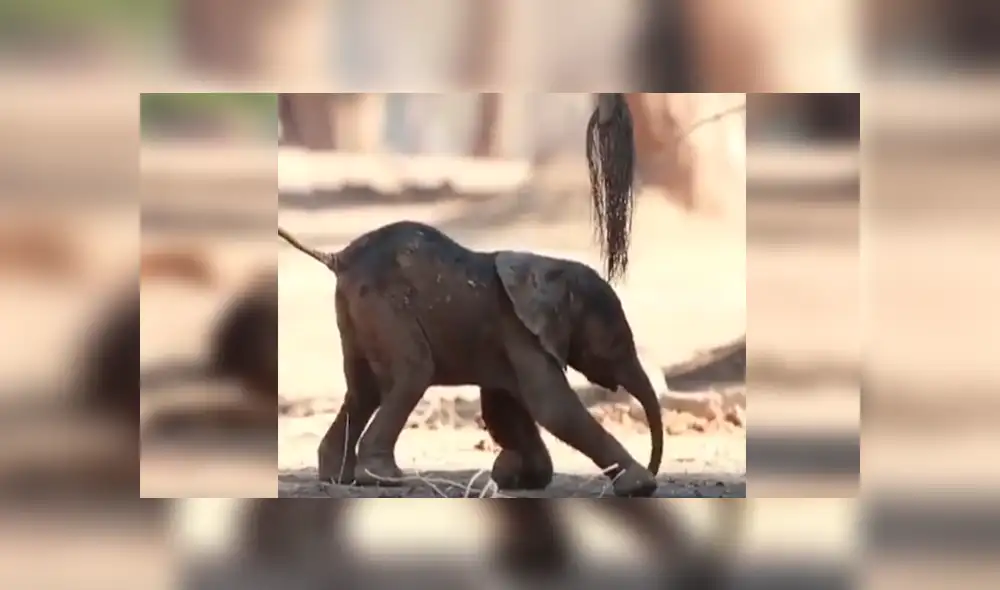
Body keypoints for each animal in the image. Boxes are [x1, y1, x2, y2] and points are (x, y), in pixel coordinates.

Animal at [277, 220, 664, 497]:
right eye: (615, 343)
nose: (654, 468)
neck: (550, 270)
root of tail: (340, 257)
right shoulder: (518, 329)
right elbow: (553, 407)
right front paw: (640, 485)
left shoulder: (505, 339)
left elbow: (504, 406)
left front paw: (514, 476)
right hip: (385, 308)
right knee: (413, 373)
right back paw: (384, 480)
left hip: (357, 312)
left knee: (362, 391)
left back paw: (338, 477)